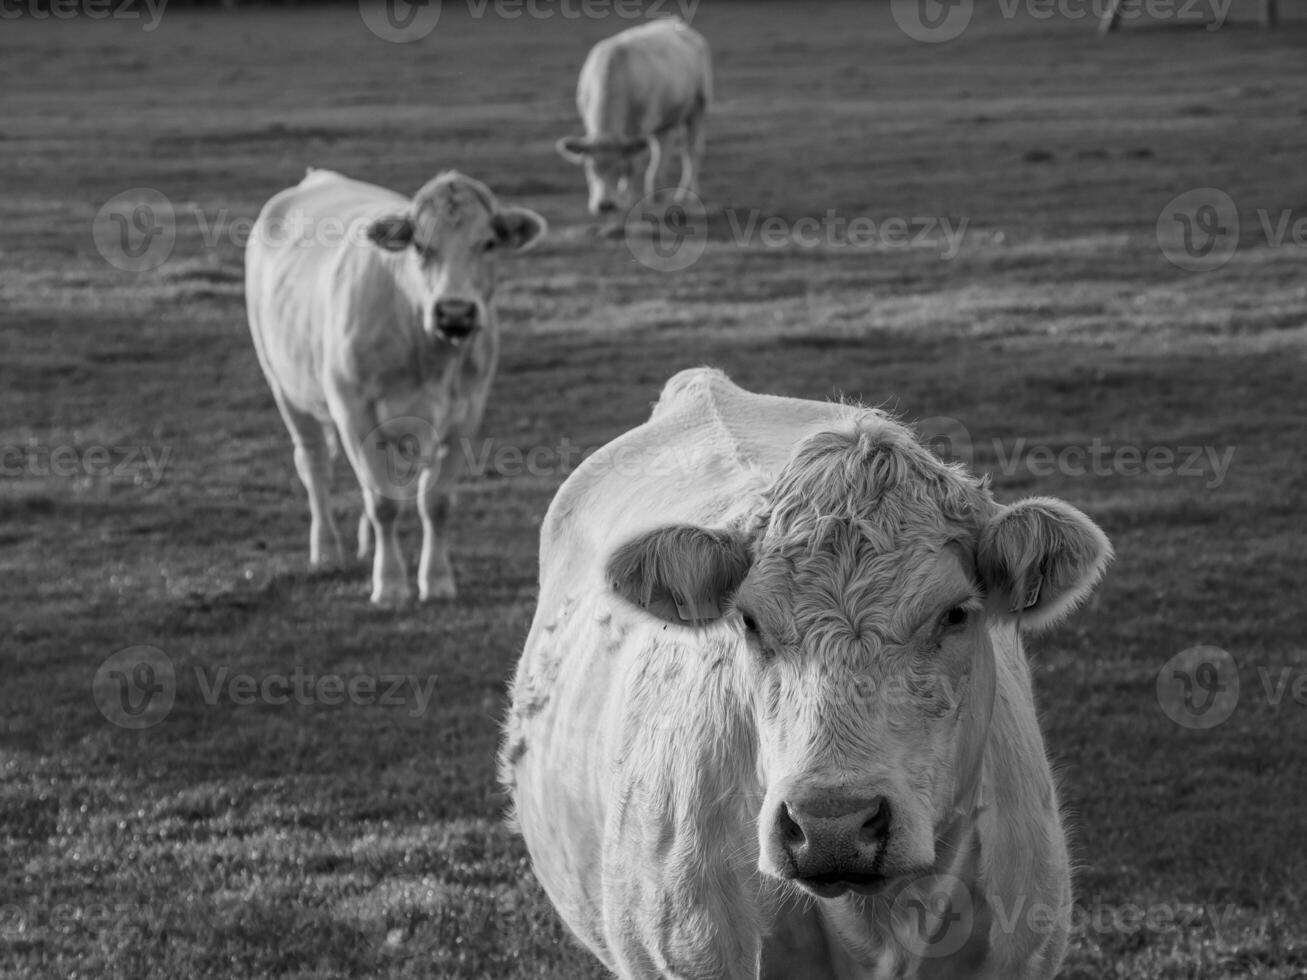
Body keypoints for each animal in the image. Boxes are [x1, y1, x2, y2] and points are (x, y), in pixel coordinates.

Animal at [245, 172, 546, 611]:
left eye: (489, 243)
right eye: (420, 245)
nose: (455, 313)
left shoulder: (466, 414)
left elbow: (435, 503)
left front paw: (436, 580)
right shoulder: (354, 412)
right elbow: (383, 504)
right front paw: (389, 583)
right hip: (283, 384)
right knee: (314, 465)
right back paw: (326, 549)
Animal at [554, 16, 711, 216]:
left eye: (618, 168)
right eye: (590, 168)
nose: (605, 205)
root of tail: (675, 22)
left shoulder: (640, 126)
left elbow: (632, 164)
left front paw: (628, 199)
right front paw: (623, 195)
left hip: (698, 107)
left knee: (692, 151)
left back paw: (688, 195)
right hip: (668, 118)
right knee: (666, 151)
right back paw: (658, 193)